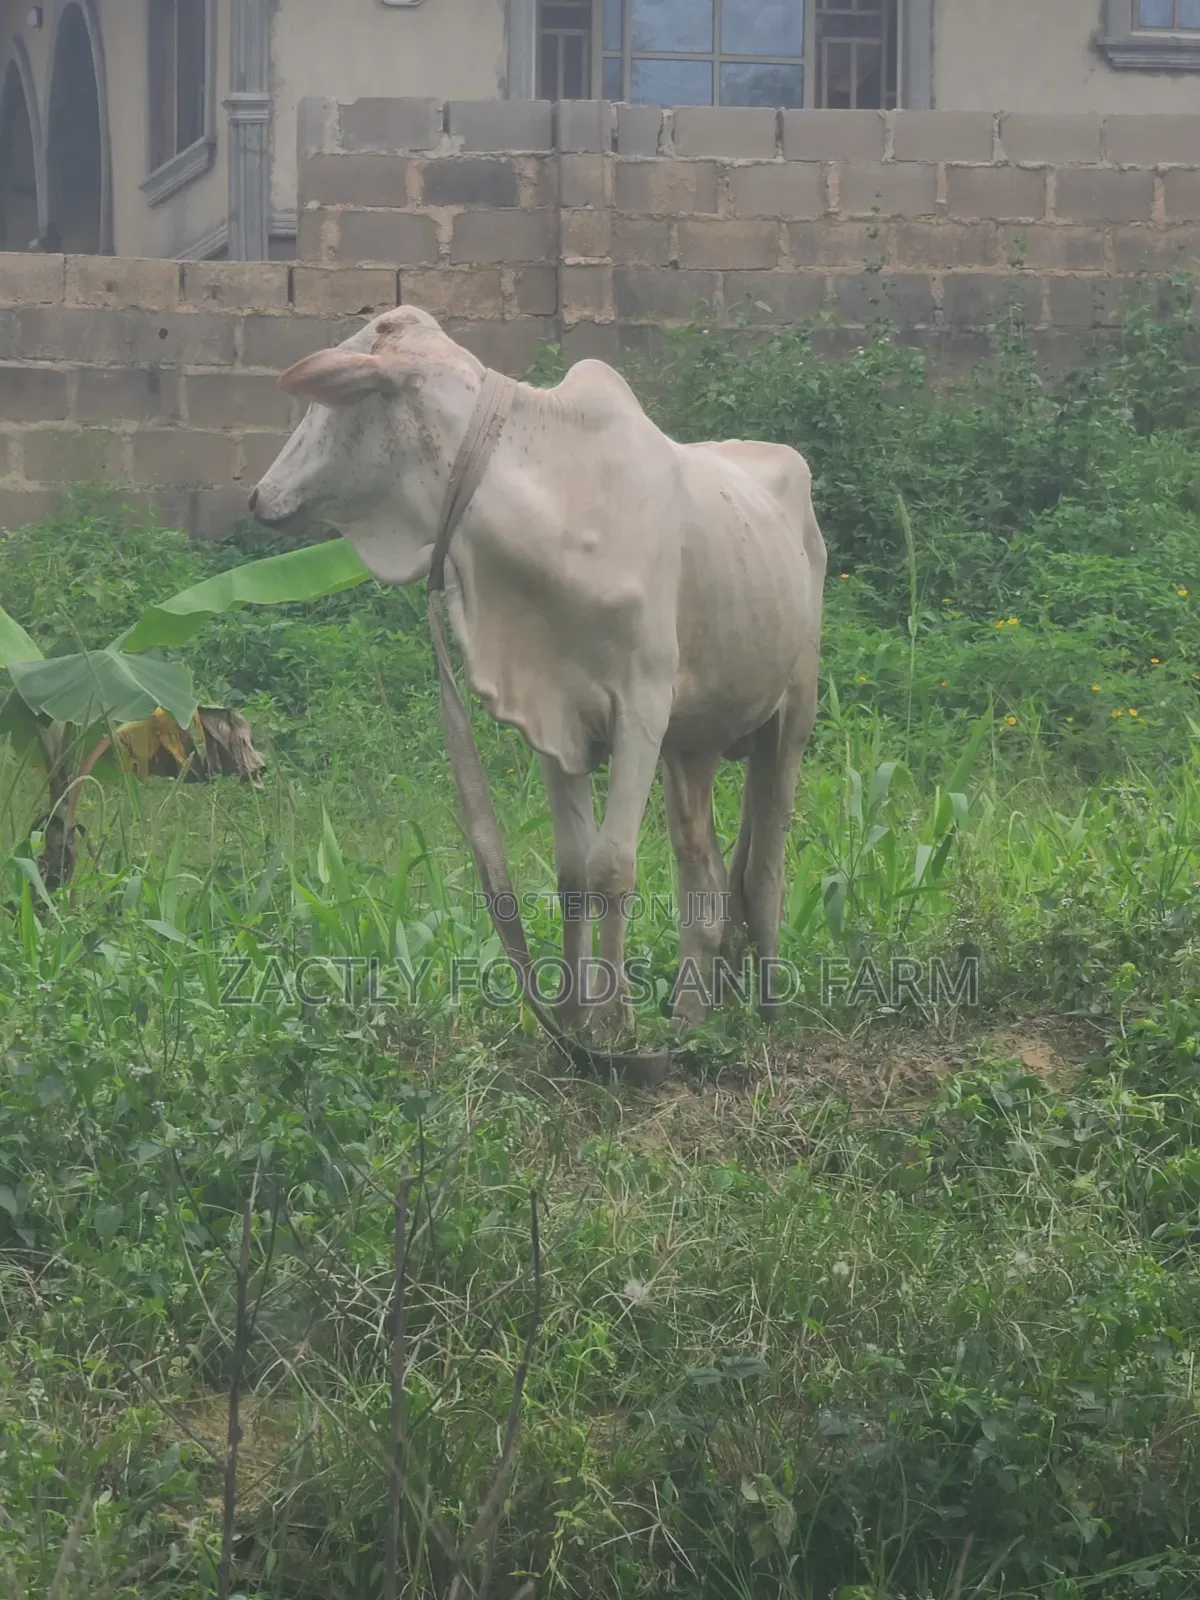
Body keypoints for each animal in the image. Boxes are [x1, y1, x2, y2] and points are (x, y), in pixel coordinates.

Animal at [250, 306, 826, 1040]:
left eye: (324, 403)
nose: (258, 496)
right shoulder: (555, 716)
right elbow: (573, 872)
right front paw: (573, 1019)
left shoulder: (640, 710)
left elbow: (612, 868)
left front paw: (614, 1024)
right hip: (691, 746)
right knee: (704, 867)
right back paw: (693, 1010)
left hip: (792, 716)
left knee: (766, 866)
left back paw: (767, 1004)